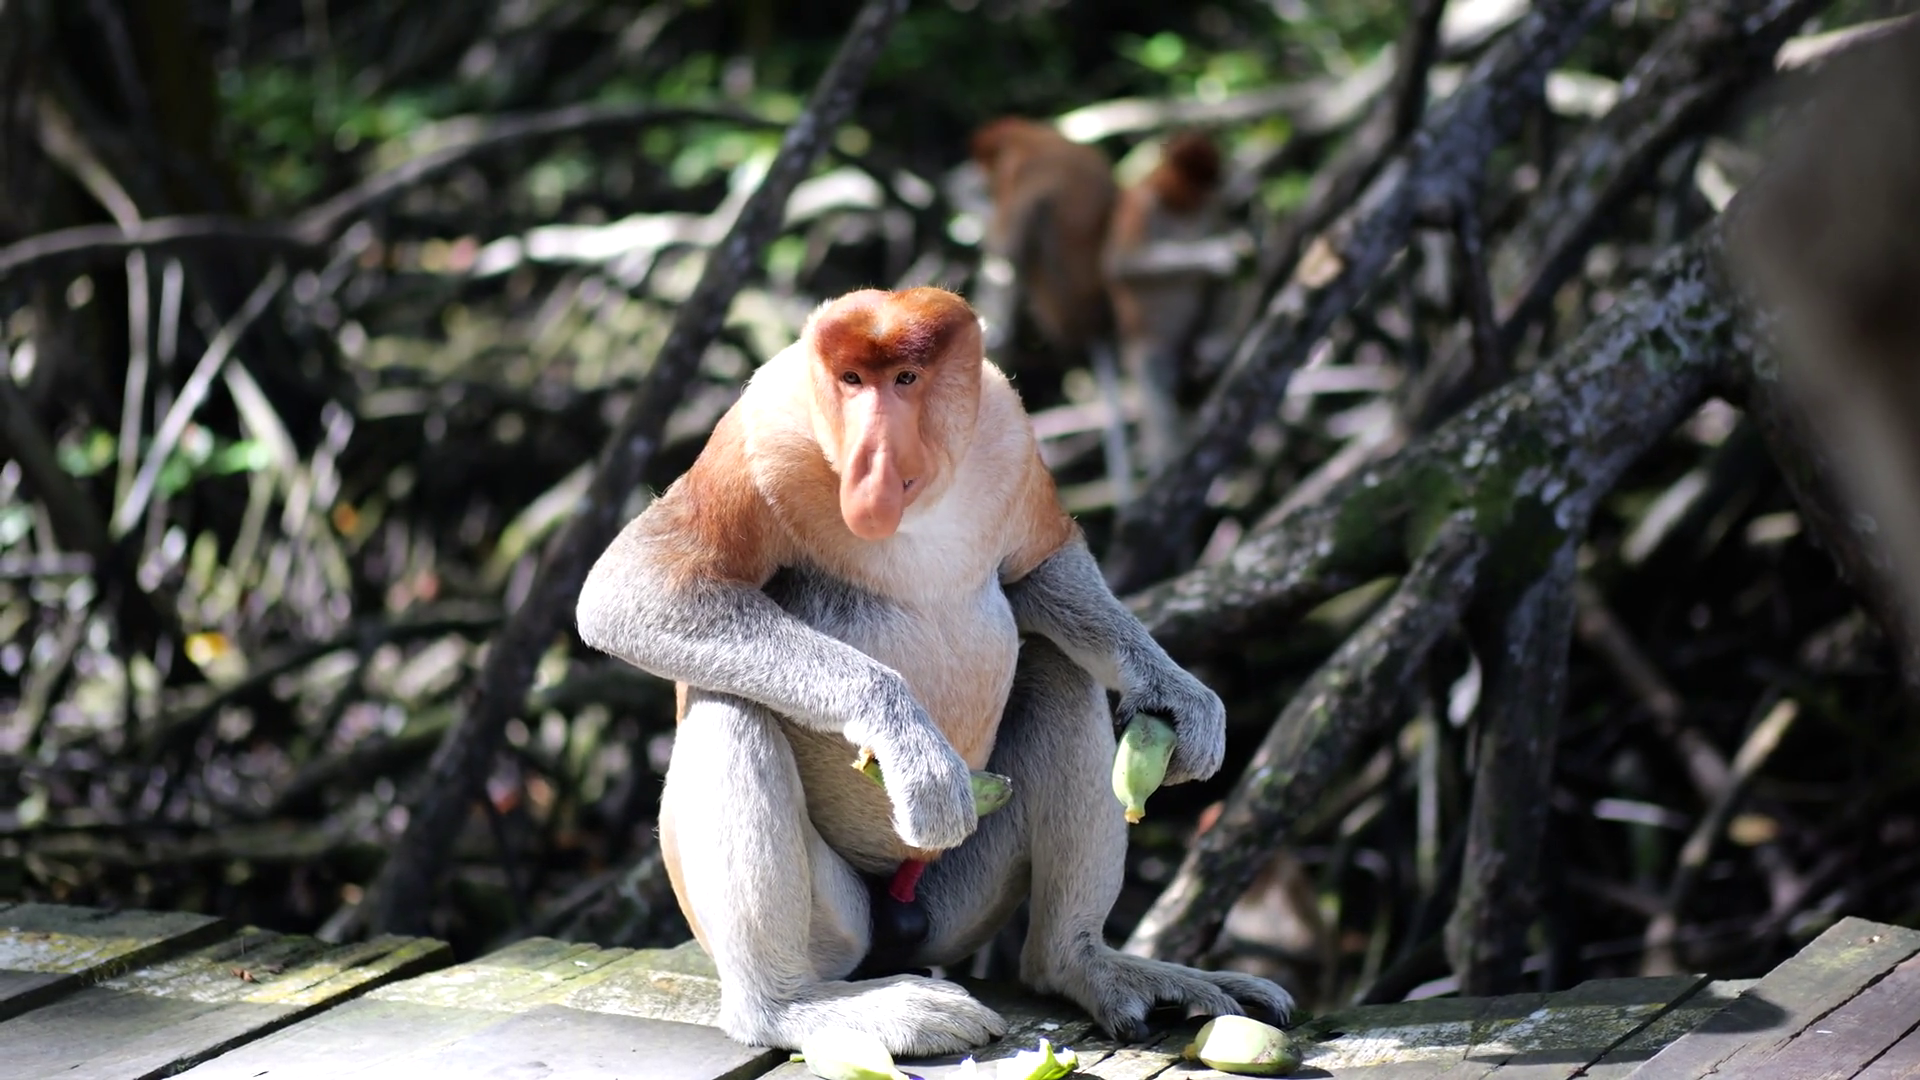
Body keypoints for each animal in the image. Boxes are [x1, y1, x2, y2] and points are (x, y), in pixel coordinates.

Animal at [575, 286, 1294, 1056]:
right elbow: (629, 591)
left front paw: (1179, 694)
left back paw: (1085, 962)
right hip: (835, 923)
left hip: (961, 899)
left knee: (1055, 671)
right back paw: (794, 1007)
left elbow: (1039, 569)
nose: (873, 460)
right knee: (730, 707)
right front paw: (913, 750)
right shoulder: (760, 440)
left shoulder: (1006, 430)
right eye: (851, 381)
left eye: (905, 380)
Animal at [967, 116, 1138, 508]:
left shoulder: (1026, 174)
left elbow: (1006, 244)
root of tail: (1095, 322)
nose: (986, 188)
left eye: (992, 170)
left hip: (1054, 296)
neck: (1036, 139)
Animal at [1103, 130, 1225, 476]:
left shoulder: (1210, 211)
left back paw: (1212, 347)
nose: (1212, 191)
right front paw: (1216, 253)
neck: (1177, 209)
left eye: (1211, 177)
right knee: (1155, 377)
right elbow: (1124, 265)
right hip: (1145, 343)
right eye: (1195, 178)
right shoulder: (1141, 205)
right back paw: (1169, 459)